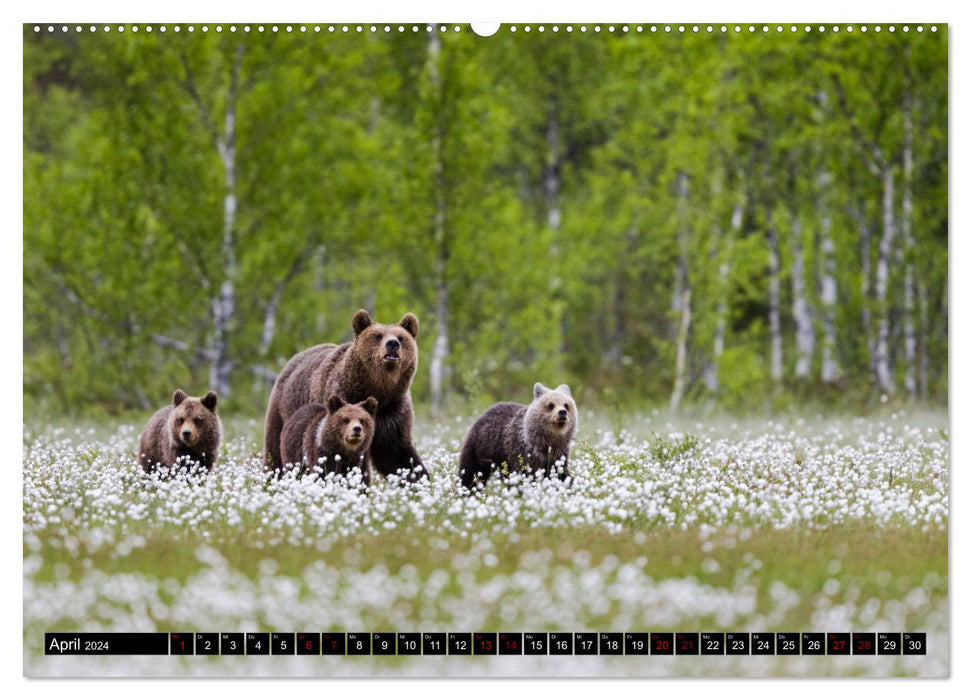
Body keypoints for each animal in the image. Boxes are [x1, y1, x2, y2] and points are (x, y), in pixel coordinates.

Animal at [264, 310, 428, 482]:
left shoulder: (392, 410)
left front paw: (418, 478)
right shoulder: (343, 398)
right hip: (281, 409)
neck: (377, 389)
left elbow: (396, 452)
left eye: (401, 337)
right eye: (378, 336)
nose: (392, 344)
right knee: (274, 448)